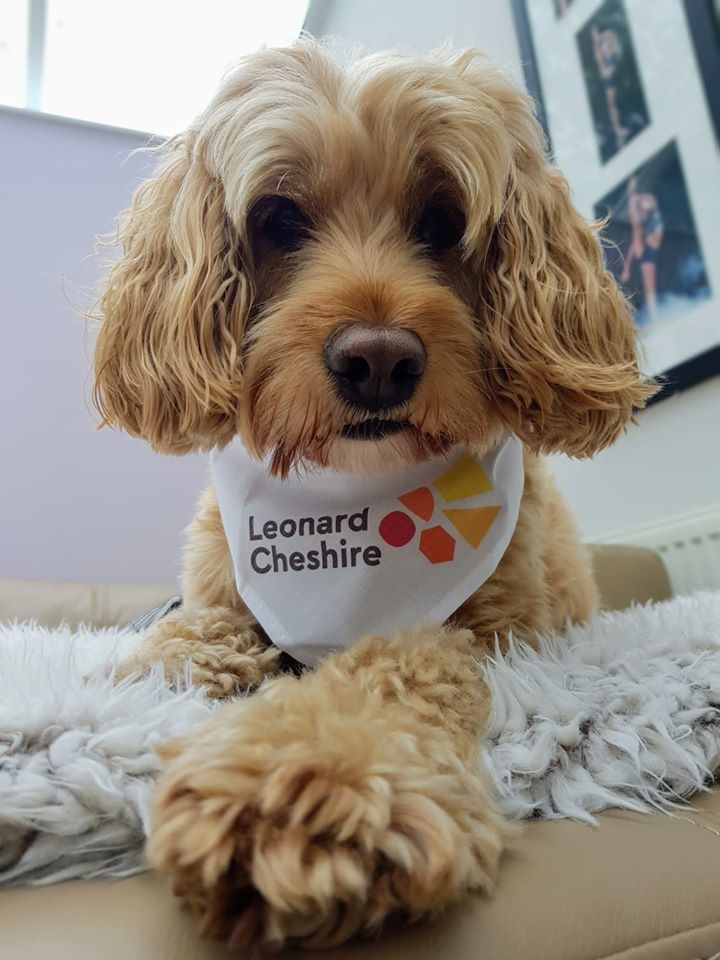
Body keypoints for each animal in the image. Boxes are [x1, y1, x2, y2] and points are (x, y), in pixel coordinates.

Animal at [91, 39, 652, 952]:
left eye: (442, 221)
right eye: (279, 218)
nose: (378, 359)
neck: (351, 496)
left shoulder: (491, 635)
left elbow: (399, 666)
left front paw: (309, 778)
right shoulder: (219, 600)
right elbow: (172, 644)